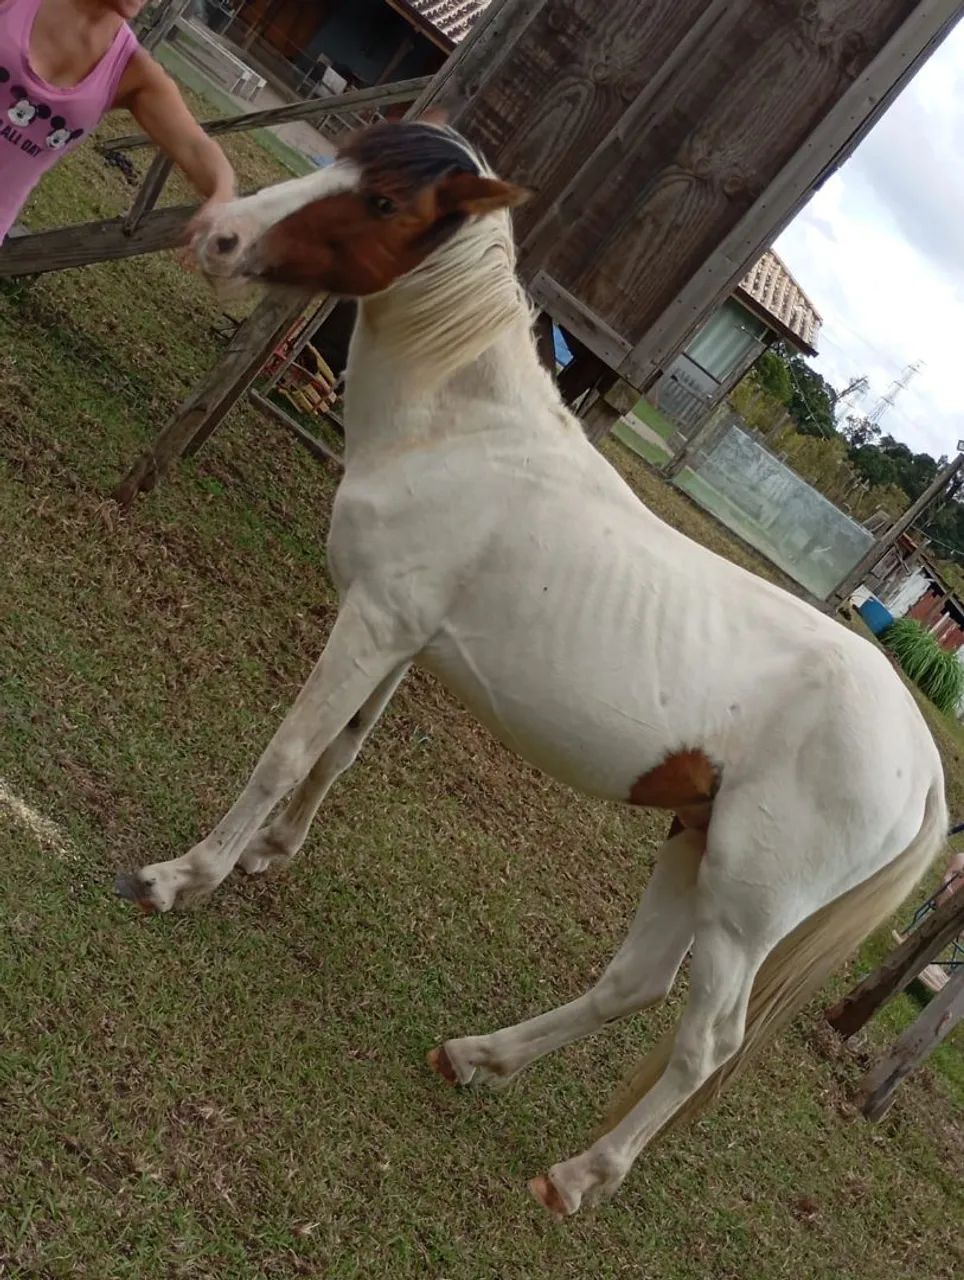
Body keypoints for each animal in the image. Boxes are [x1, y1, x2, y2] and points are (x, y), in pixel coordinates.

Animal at [116, 119, 947, 1217]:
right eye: (348, 158)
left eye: (385, 203)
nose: (219, 235)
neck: (465, 433)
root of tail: (925, 767)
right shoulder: (403, 634)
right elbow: (339, 752)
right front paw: (270, 855)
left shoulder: (373, 624)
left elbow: (287, 751)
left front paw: (184, 876)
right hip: (690, 840)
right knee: (634, 983)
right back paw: (476, 1057)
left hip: (742, 907)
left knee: (704, 1041)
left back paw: (579, 1175)